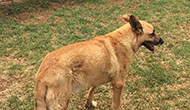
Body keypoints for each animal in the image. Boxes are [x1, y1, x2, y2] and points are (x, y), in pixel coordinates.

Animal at [35, 14, 163, 110]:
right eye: (152, 33)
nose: (163, 41)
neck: (126, 39)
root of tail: (41, 75)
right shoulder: (118, 84)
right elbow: (116, 104)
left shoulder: (95, 76)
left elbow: (91, 91)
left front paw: (88, 104)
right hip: (63, 101)